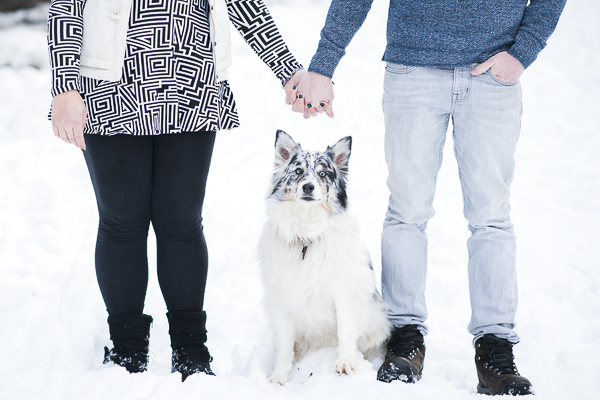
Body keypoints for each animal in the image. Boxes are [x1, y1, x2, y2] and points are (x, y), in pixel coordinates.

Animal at [258, 131, 394, 384]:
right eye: (298, 171)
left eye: (323, 173)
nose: (308, 187)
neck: (307, 237)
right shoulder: (282, 297)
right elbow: (284, 343)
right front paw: (279, 377)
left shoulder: (345, 292)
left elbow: (346, 330)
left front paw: (345, 363)